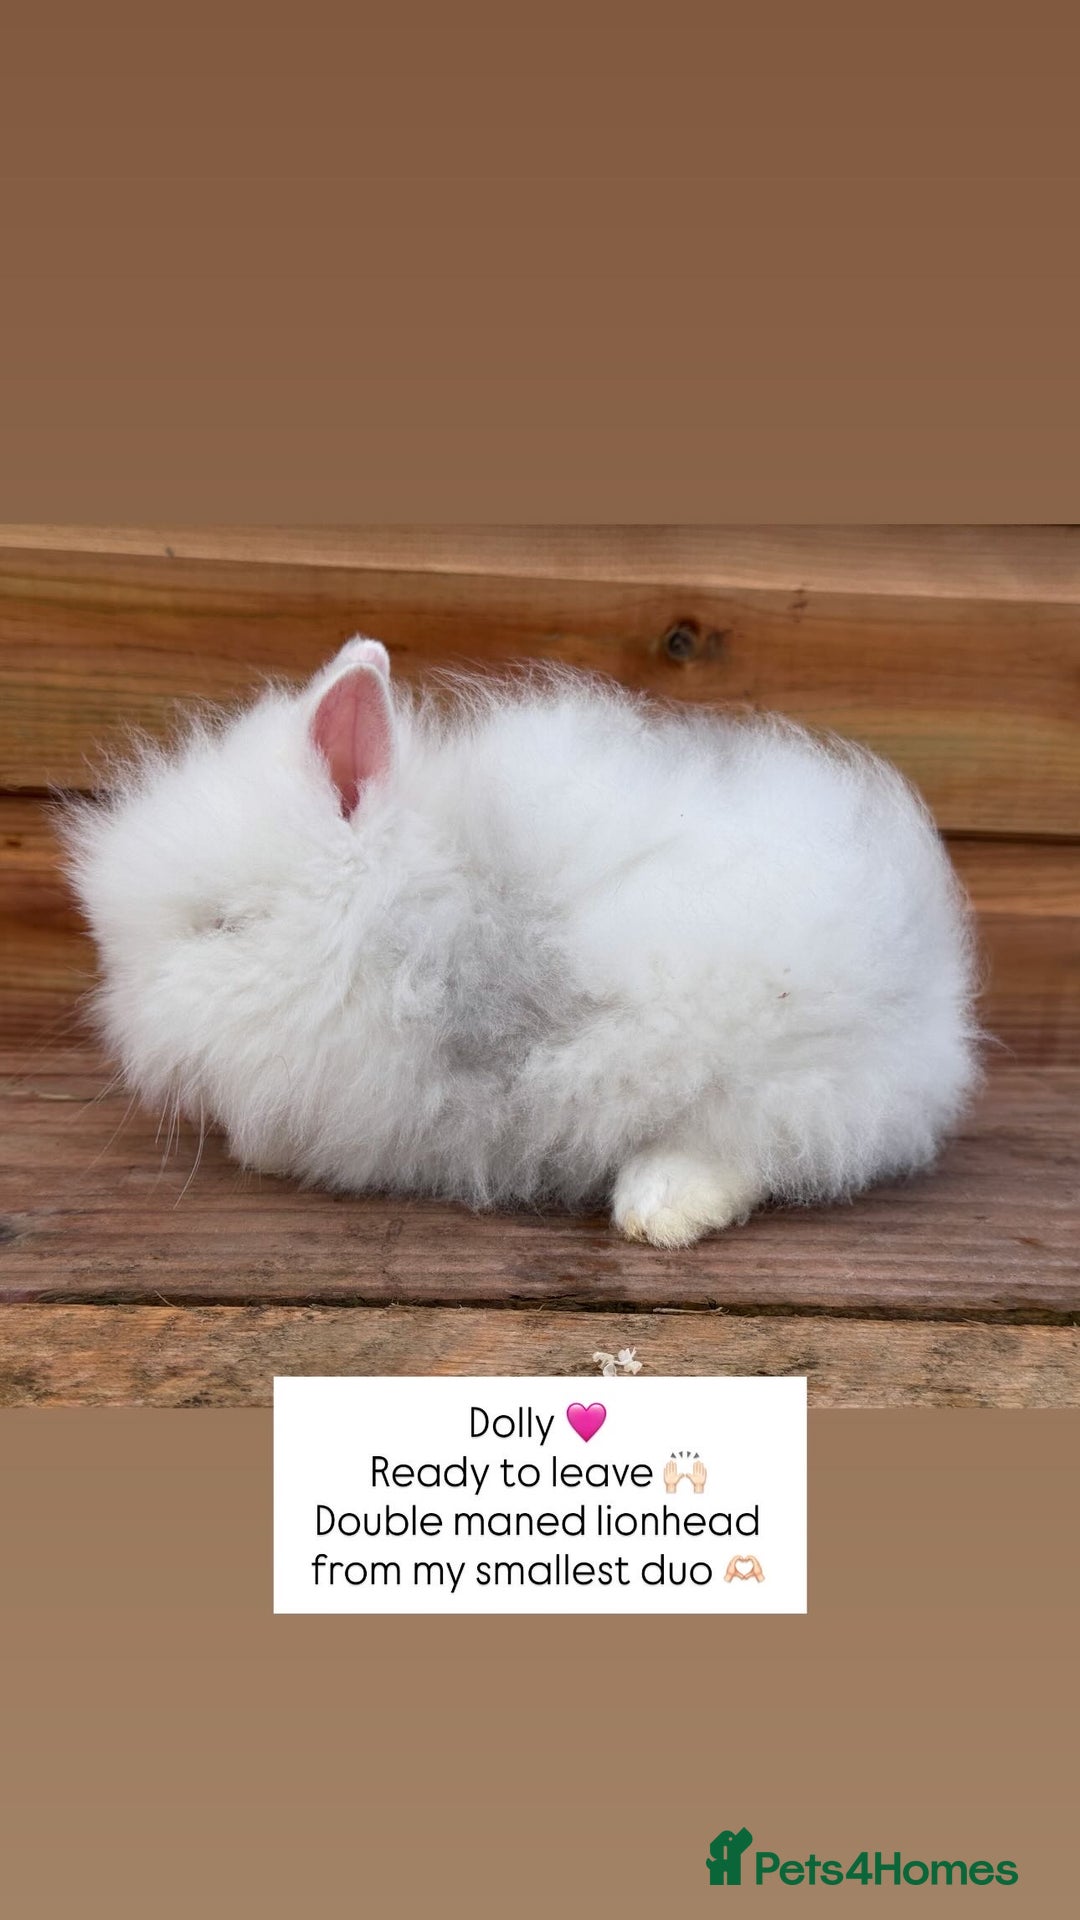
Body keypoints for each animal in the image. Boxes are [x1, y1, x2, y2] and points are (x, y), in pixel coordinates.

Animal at [62, 636, 979, 1248]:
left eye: (224, 924)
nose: (123, 1008)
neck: (407, 927)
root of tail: (934, 984)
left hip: (770, 1060)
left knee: (756, 1146)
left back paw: (657, 1209)